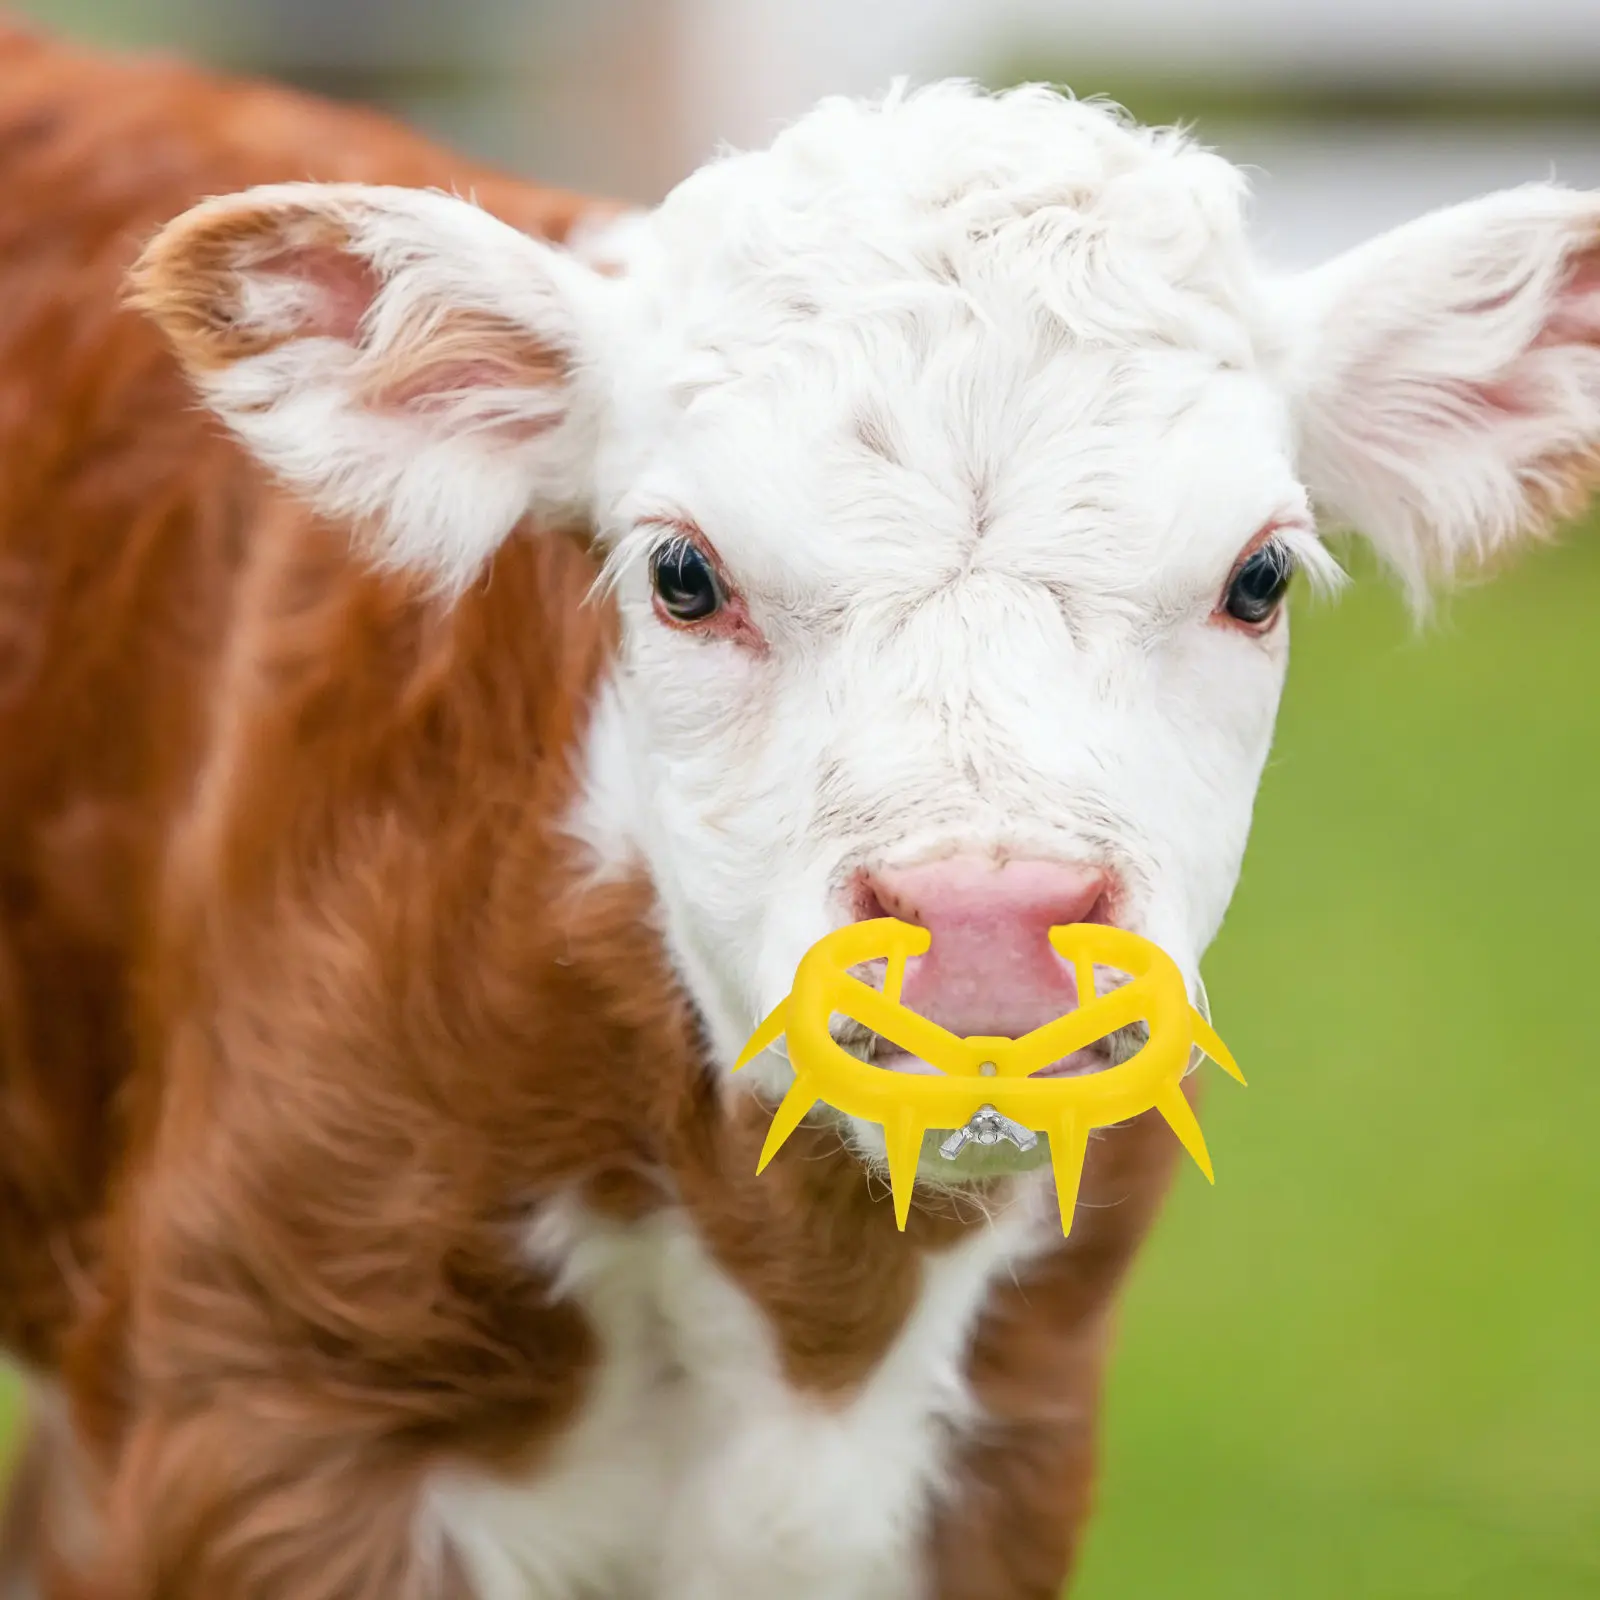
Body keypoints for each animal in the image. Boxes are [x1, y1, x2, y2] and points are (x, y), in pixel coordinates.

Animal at [0, 19, 1595, 1600]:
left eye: (1257, 577)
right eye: (681, 574)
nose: (986, 925)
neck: (809, 1316)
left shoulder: (1010, 1447)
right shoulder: (244, 1408)